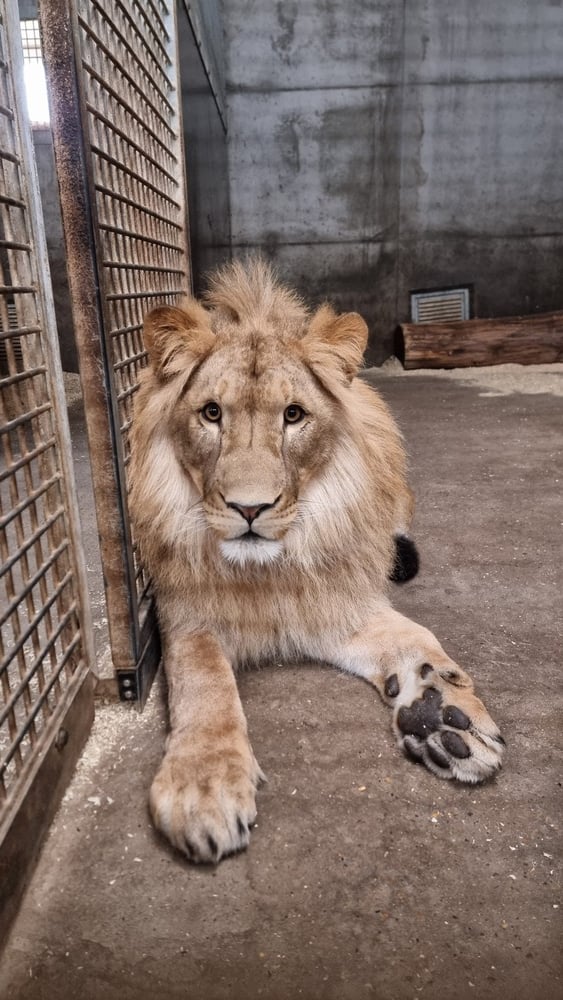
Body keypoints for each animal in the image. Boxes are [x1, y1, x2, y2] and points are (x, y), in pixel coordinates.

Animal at [130, 262, 504, 864]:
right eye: (211, 413)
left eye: (293, 416)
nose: (250, 508)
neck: (270, 571)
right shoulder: (184, 612)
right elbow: (203, 681)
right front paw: (203, 784)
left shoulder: (335, 601)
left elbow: (418, 639)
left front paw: (444, 715)